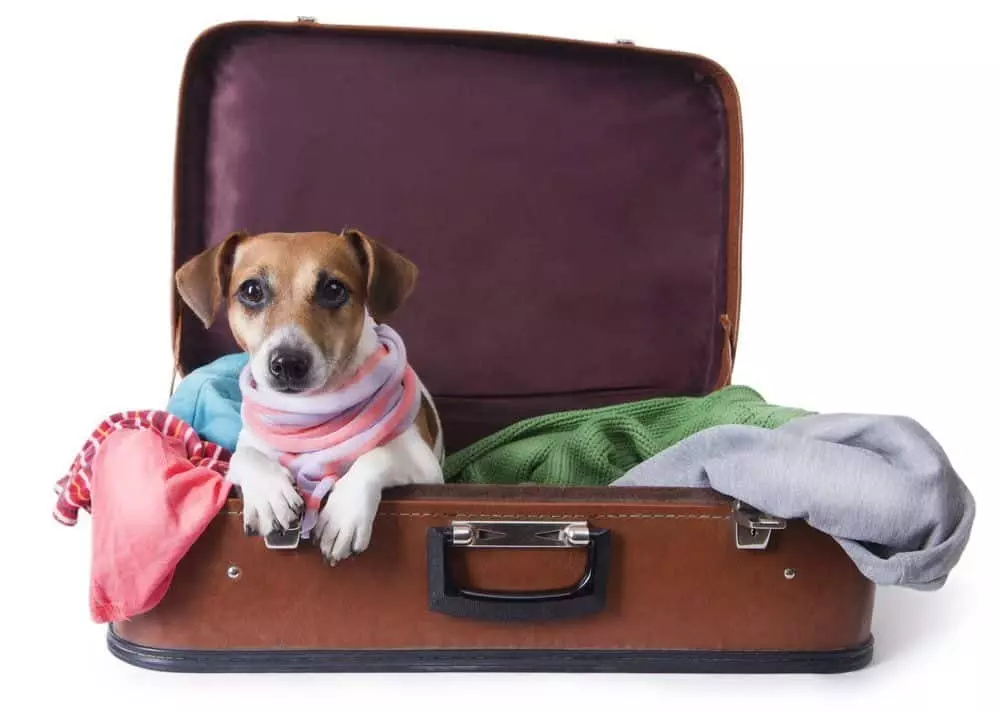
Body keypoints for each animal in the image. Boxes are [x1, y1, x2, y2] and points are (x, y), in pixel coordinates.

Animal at [174, 228, 444, 560]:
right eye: (251, 290)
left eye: (333, 289)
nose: (288, 363)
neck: (309, 408)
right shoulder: (246, 448)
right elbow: (244, 455)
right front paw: (268, 493)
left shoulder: (425, 465)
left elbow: (378, 454)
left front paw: (344, 513)